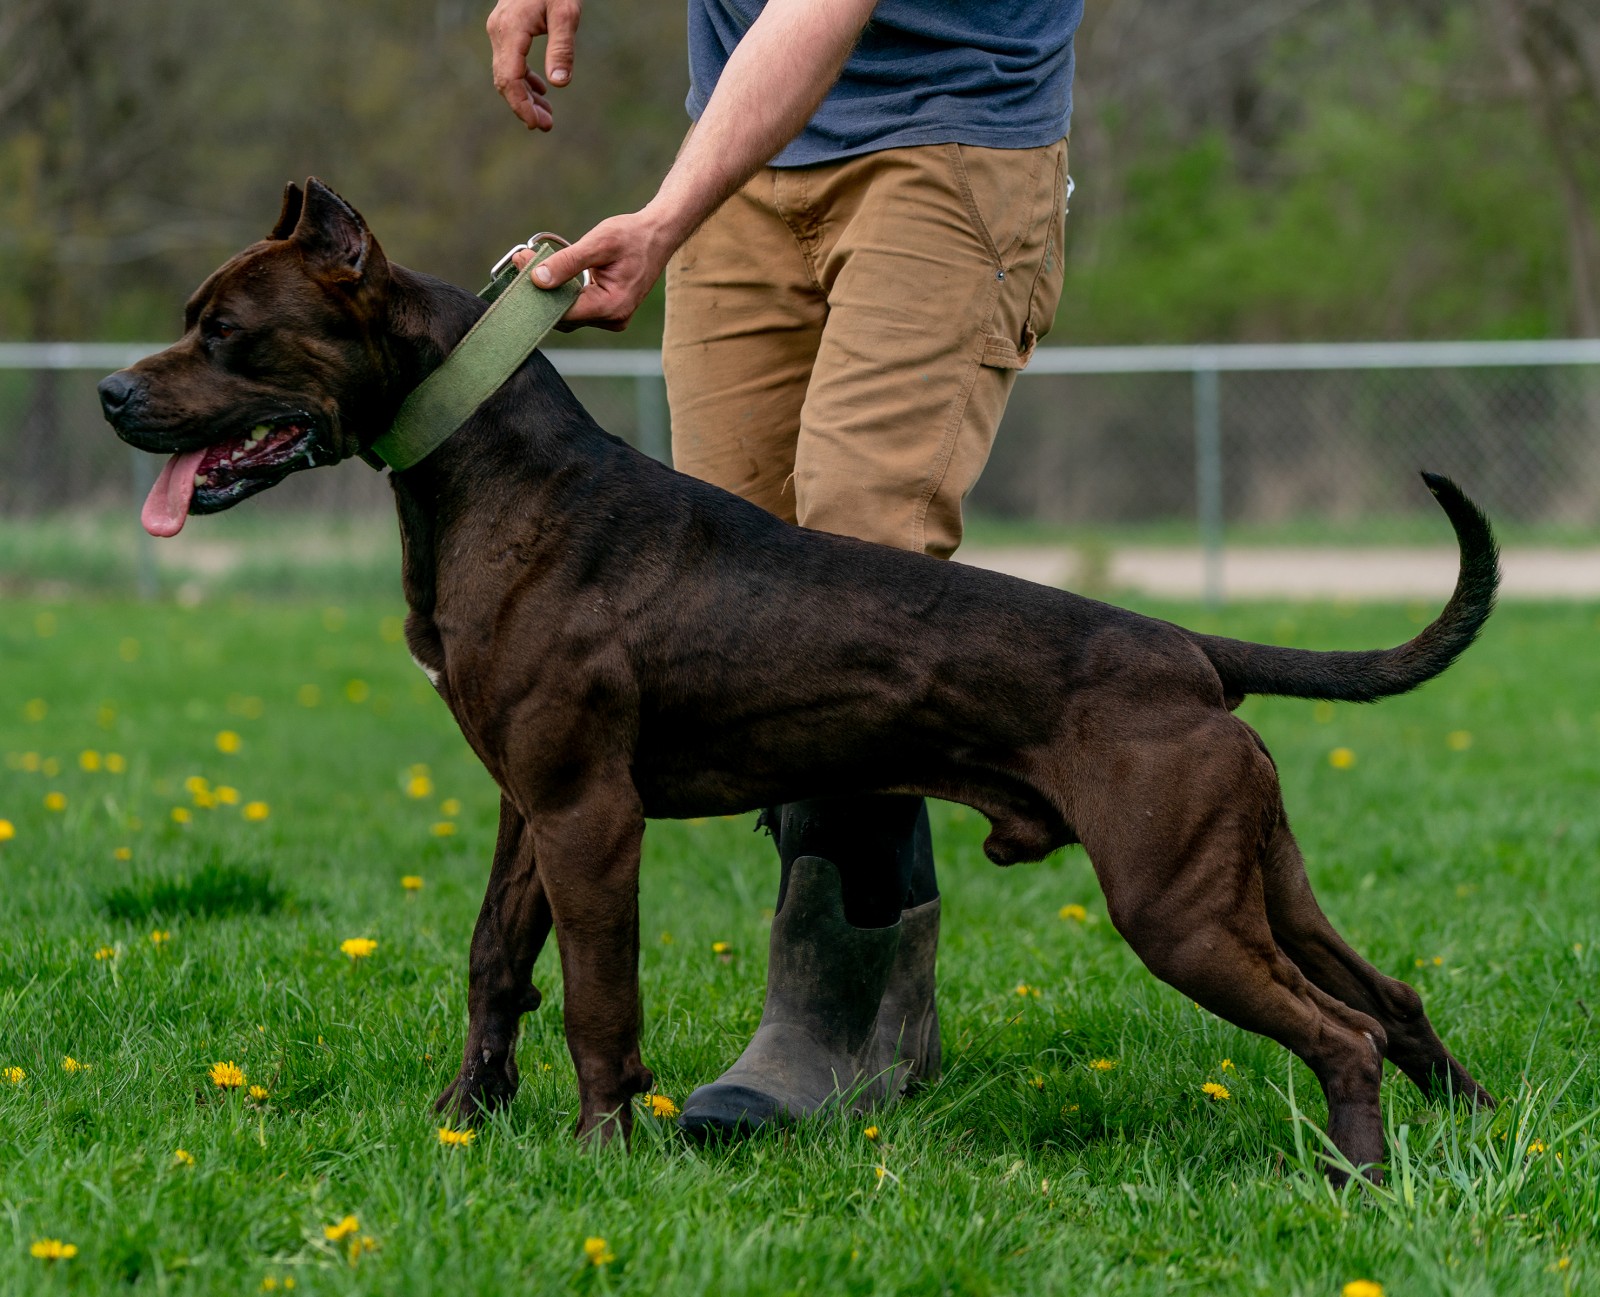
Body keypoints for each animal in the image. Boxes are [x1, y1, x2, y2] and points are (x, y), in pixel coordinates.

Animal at [103, 177, 1497, 1183]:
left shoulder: (590, 817)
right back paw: (1476, 1126)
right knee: (1388, 996)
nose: (115, 393)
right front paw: (465, 1114)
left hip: (1176, 910)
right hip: (1255, 881)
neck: (482, 465)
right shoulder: (526, 805)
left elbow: (600, 997)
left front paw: (600, 1150)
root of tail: (1189, 652)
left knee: (1341, 1030)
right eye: (191, 319)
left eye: (226, 334)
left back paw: (1358, 1179)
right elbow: (494, 959)